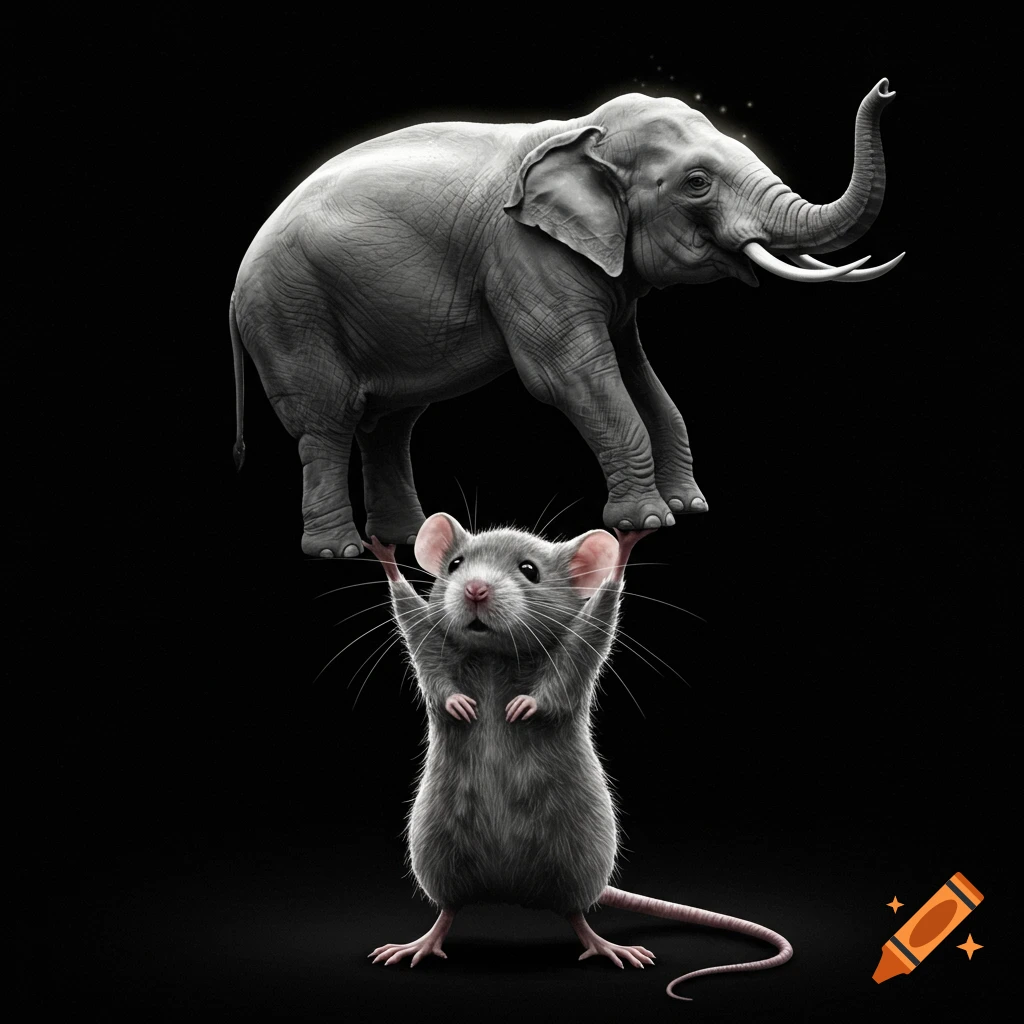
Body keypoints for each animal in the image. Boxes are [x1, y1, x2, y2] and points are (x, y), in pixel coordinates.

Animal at [230, 79, 904, 557]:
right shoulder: (523, 254)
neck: (582, 133)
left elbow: (636, 371)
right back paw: (340, 552)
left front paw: (688, 510)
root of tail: (236, 289)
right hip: (291, 312)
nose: (888, 89)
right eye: (696, 182)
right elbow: (571, 375)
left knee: (390, 422)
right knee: (328, 421)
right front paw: (647, 520)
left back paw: (405, 538)